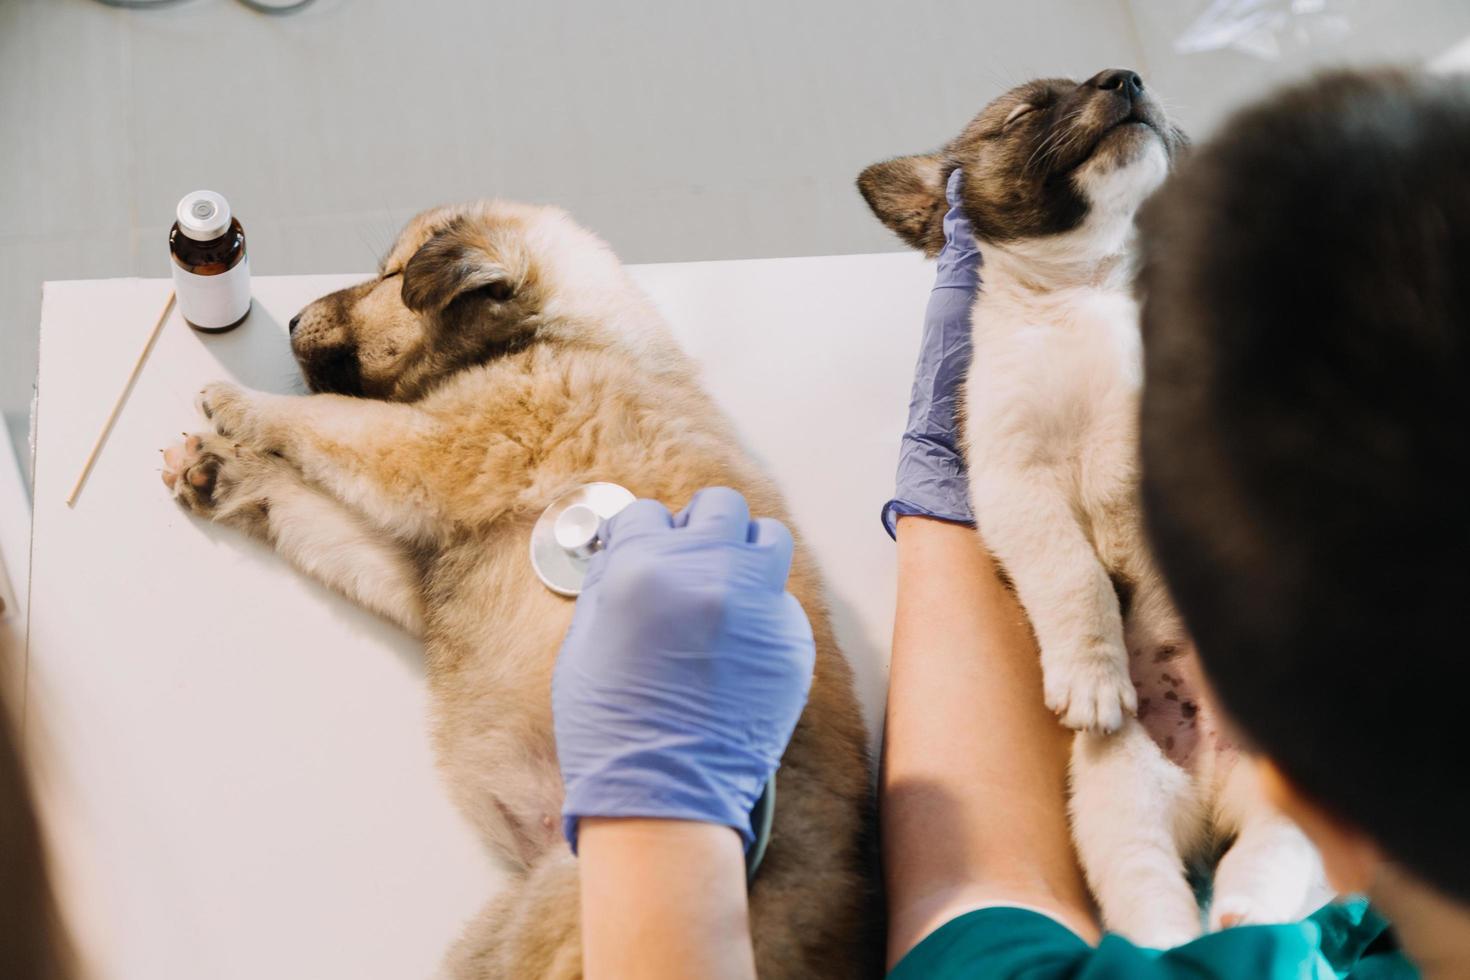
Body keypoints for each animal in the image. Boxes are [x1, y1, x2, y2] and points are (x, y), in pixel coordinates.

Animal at [158, 201, 882, 980]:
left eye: (391, 276)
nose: (289, 320)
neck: (561, 334)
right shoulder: (420, 567)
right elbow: (304, 504)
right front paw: (228, 474)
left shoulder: (429, 453)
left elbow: (323, 422)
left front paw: (236, 401)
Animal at [858, 72, 1323, 946]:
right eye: (1030, 110)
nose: (1125, 77)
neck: (1093, 288)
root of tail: (1213, 795)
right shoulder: (1017, 481)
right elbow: (1074, 577)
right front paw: (1092, 673)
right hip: (1120, 803)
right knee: (1154, 899)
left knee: (1271, 862)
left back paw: (1249, 919)